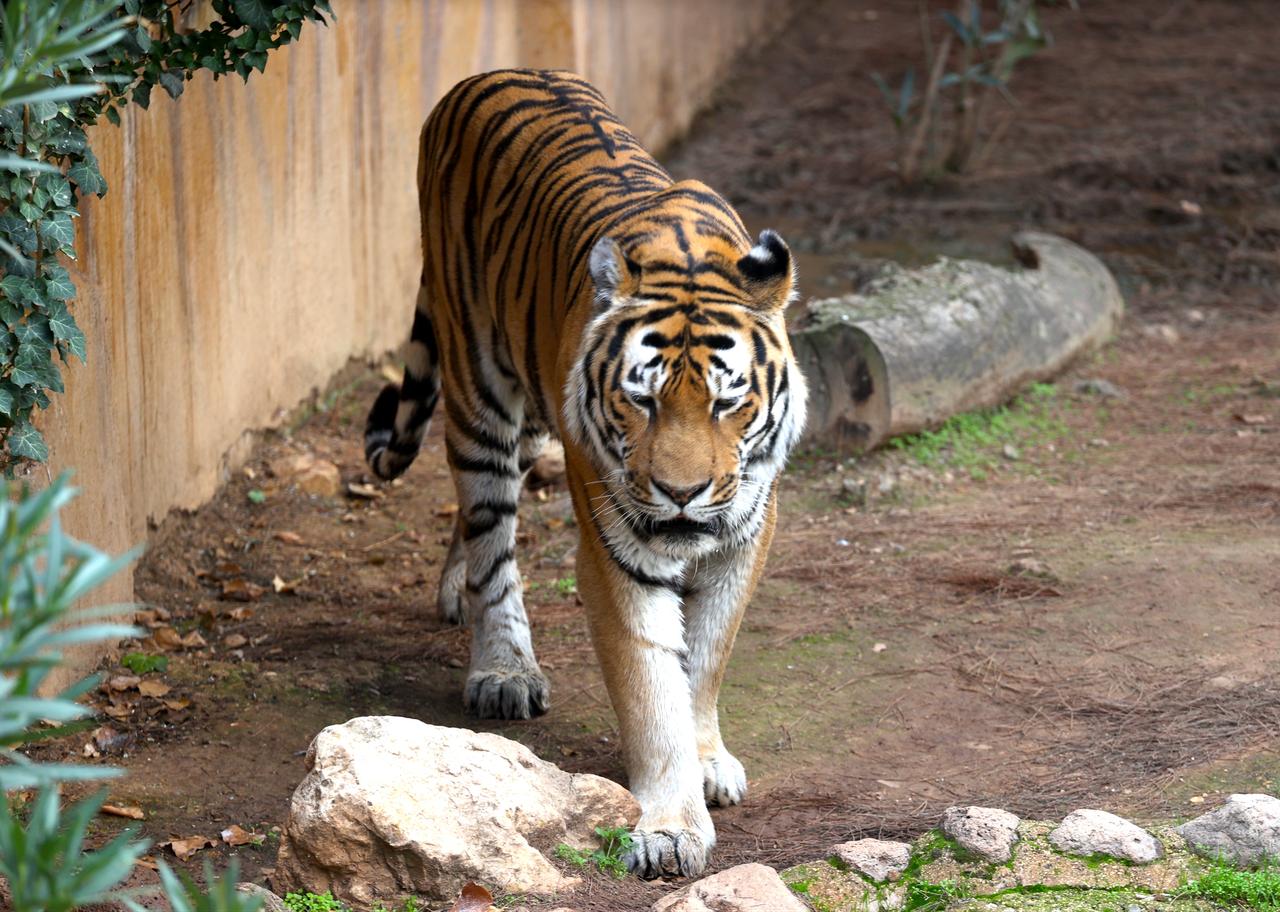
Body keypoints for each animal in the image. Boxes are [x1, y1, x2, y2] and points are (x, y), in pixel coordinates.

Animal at [364, 69, 807, 879]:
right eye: (642, 398)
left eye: (728, 401)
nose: (681, 494)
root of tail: (485, 77)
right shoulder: (617, 549)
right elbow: (651, 685)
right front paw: (669, 827)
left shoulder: (746, 532)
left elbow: (707, 658)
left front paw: (707, 760)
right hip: (479, 390)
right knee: (491, 534)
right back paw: (502, 669)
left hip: (537, 408)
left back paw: (454, 591)